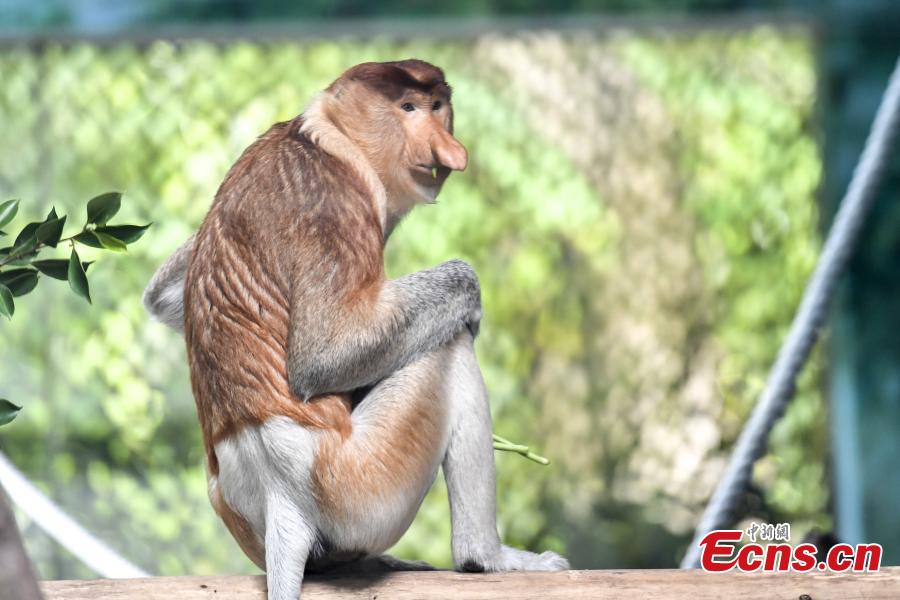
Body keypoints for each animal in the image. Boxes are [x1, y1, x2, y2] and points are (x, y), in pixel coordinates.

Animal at [143, 59, 568, 599]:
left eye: (437, 107)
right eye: (407, 107)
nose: (450, 150)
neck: (326, 135)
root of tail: (277, 495)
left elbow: (165, 297)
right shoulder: (333, 202)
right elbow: (323, 356)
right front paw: (469, 297)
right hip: (361, 484)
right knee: (447, 352)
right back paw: (486, 558)